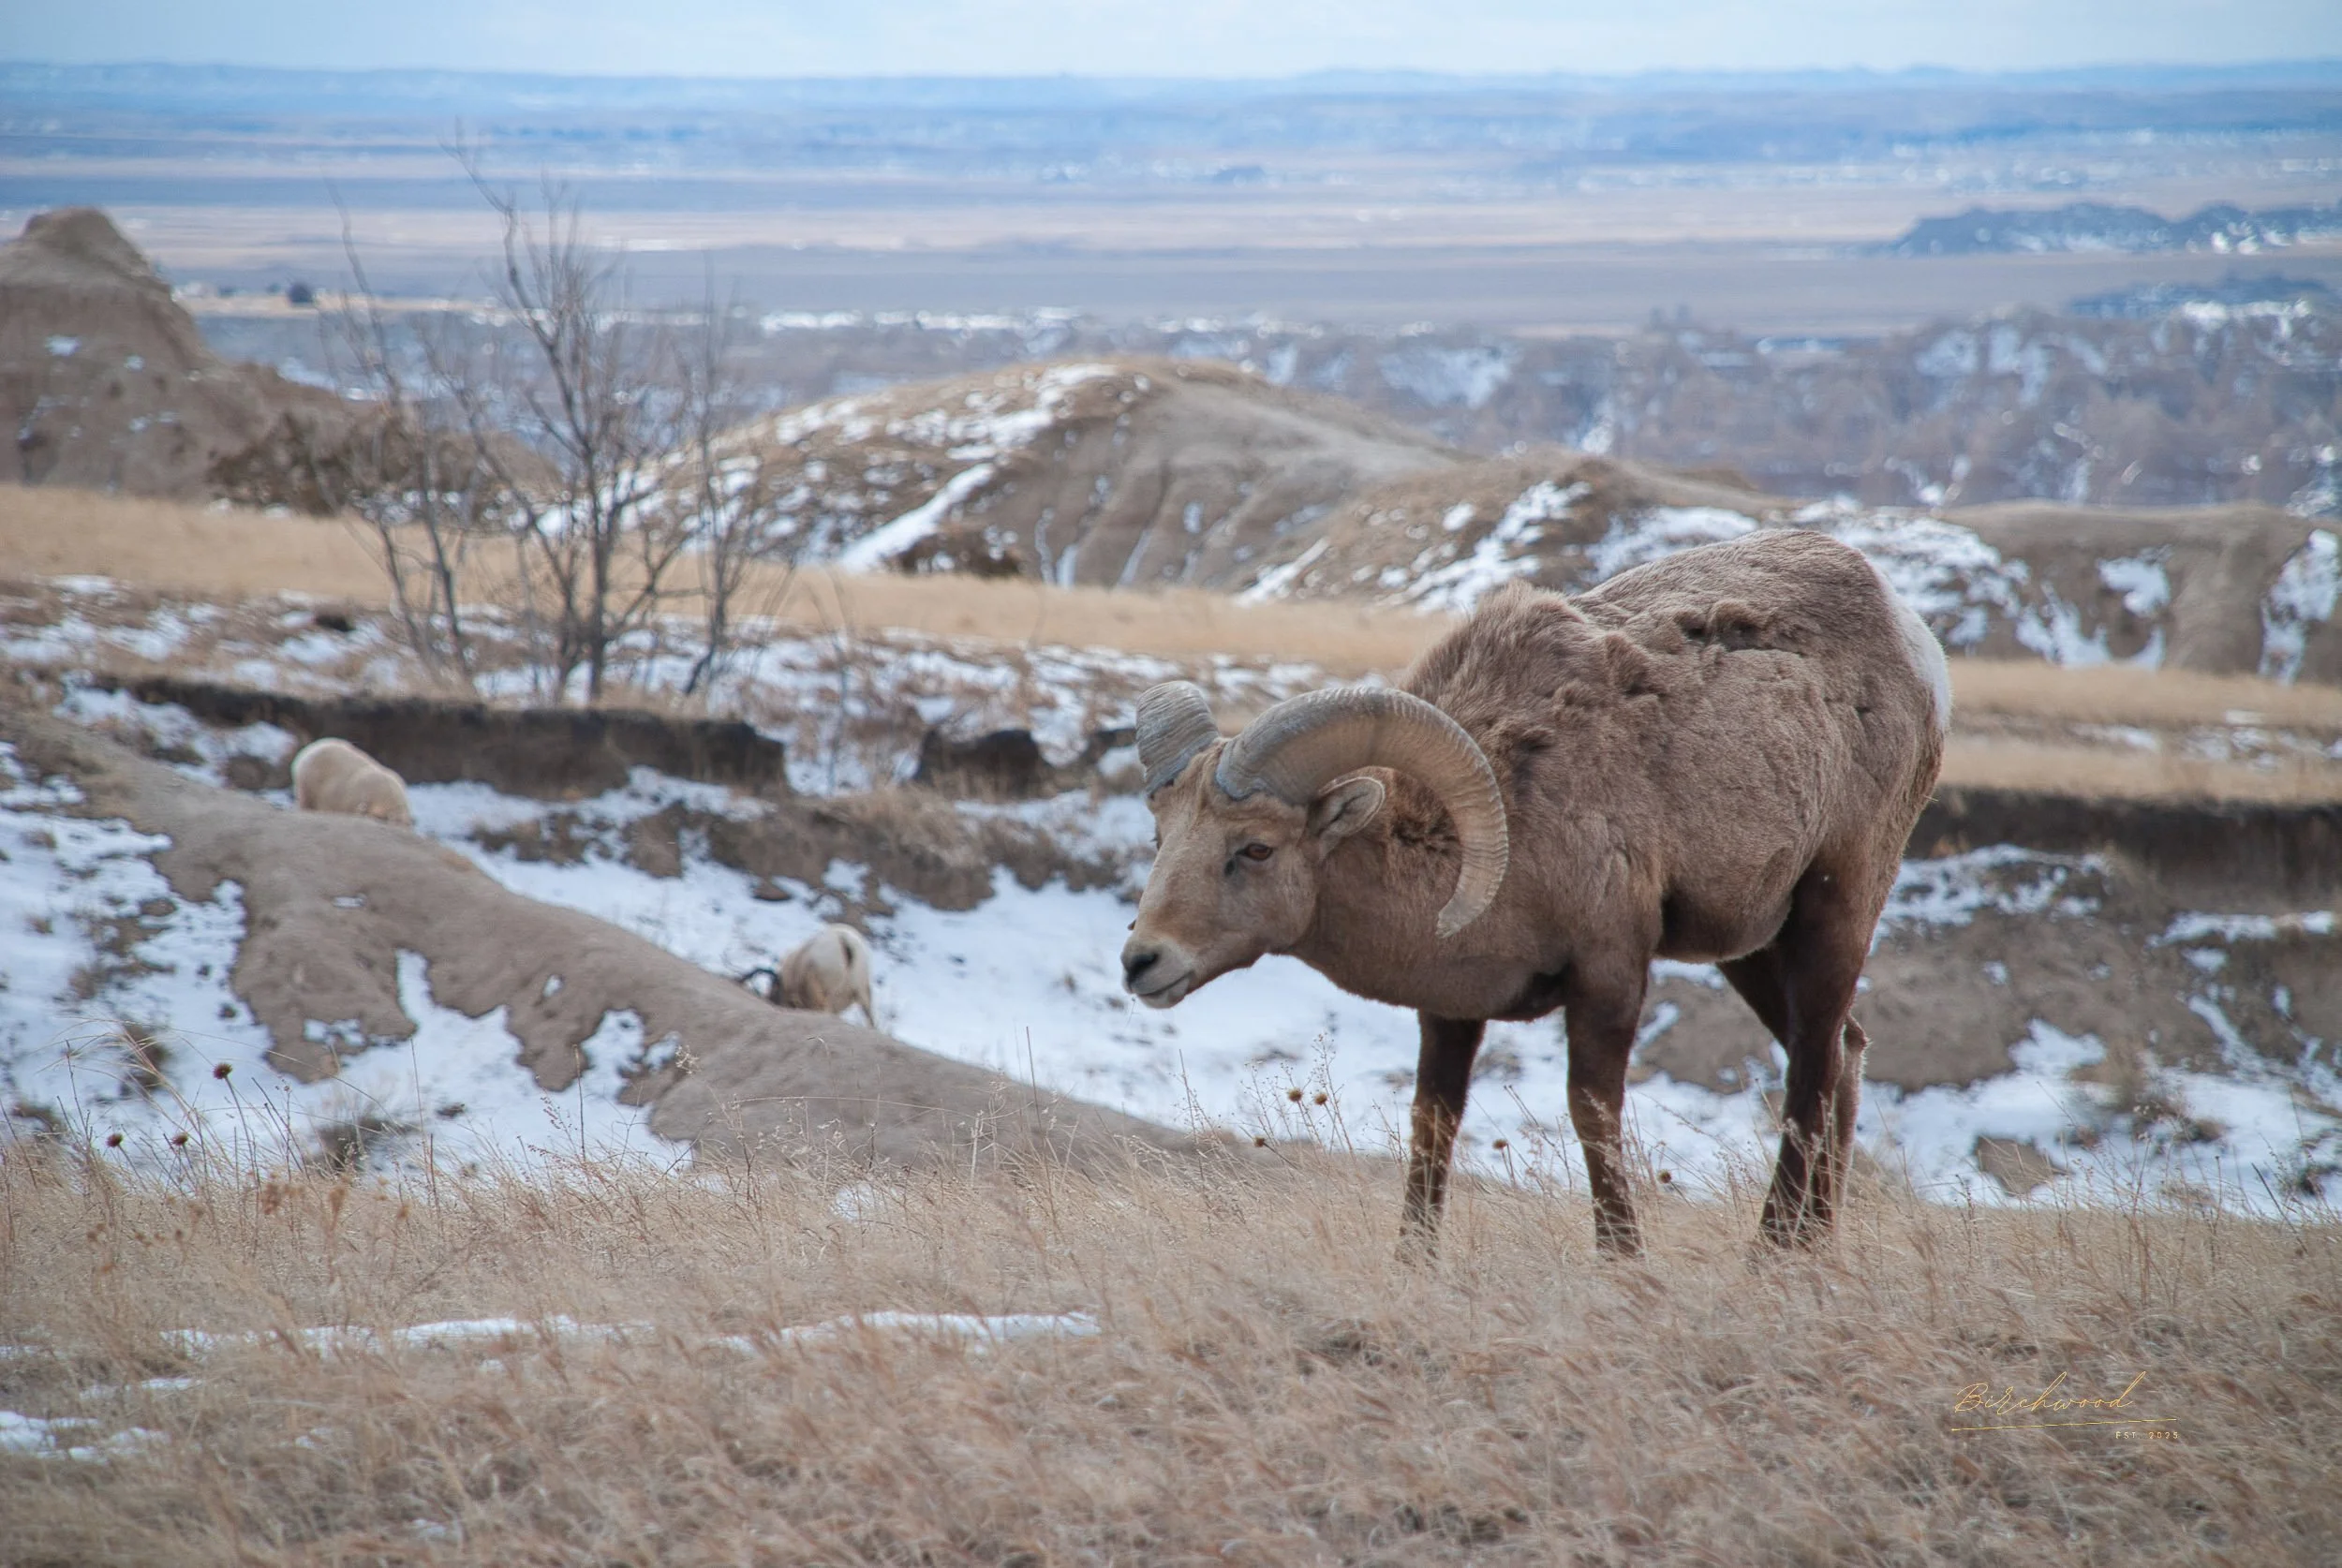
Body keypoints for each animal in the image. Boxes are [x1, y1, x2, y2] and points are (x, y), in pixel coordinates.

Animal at [1121, 529, 1948, 1257]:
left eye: (1255, 849)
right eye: (1163, 837)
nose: (1142, 962)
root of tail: (1910, 637)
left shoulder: (1609, 974)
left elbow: (1593, 1118)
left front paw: (1625, 1268)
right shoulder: (1451, 1012)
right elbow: (1433, 1123)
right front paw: (1413, 1266)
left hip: (1837, 905)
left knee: (1813, 1066)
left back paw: (1772, 1258)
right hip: (1749, 948)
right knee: (1843, 1053)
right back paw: (1815, 1253)